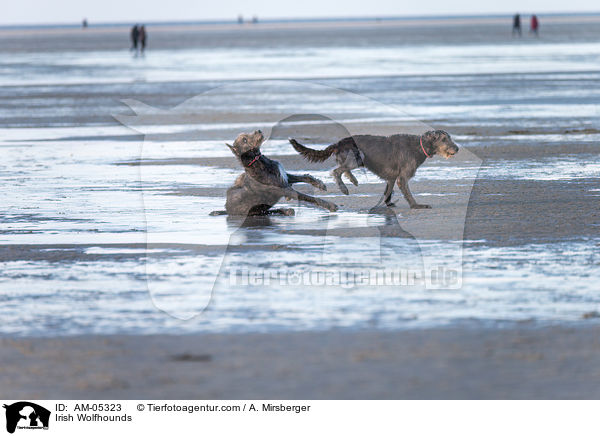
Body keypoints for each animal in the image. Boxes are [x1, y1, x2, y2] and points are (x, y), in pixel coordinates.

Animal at [210, 130, 338, 217]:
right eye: (244, 140)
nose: (258, 130)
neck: (257, 161)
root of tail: (227, 211)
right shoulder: (286, 190)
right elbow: (310, 198)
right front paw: (330, 206)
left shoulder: (284, 178)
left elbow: (304, 177)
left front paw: (319, 184)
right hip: (254, 211)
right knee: (266, 212)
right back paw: (285, 210)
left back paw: (287, 210)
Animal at [290, 130, 460, 209]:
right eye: (444, 139)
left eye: (449, 137)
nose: (457, 148)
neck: (420, 146)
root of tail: (339, 143)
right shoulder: (402, 177)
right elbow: (408, 193)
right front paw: (416, 206)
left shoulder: (392, 178)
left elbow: (388, 191)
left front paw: (388, 204)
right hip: (357, 156)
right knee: (336, 171)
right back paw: (344, 187)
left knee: (343, 169)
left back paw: (353, 180)